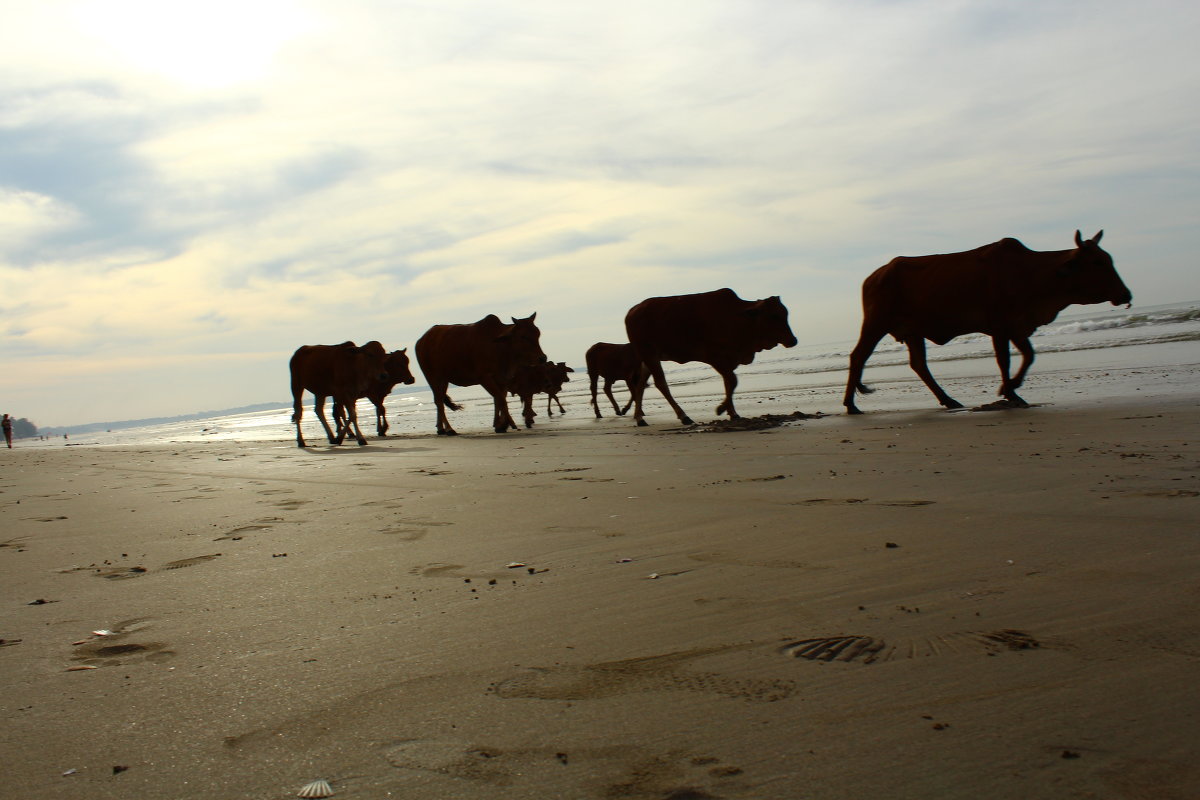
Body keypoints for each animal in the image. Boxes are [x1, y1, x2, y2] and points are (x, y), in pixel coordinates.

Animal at [412, 314, 544, 438]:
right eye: (523, 336)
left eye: (538, 333)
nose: (543, 358)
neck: (500, 347)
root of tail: (421, 341)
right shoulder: (484, 378)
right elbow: (501, 399)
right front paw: (507, 423)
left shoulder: (502, 379)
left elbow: (499, 399)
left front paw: (500, 425)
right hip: (433, 377)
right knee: (439, 401)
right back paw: (449, 429)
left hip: (443, 379)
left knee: (439, 401)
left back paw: (441, 429)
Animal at [628, 287, 796, 424]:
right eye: (774, 316)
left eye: (785, 314)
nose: (793, 340)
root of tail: (632, 312)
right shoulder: (716, 358)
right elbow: (732, 381)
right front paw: (721, 409)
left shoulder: (728, 361)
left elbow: (728, 383)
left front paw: (733, 413)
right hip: (649, 354)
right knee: (661, 384)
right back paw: (683, 416)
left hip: (649, 358)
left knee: (641, 384)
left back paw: (639, 417)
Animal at [844, 230, 1132, 412]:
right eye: (1097, 262)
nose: (1126, 295)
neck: (1033, 273)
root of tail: (873, 276)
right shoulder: (999, 327)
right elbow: (1004, 360)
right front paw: (1010, 391)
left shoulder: (1017, 327)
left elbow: (1029, 355)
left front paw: (1011, 387)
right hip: (875, 323)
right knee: (858, 356)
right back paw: (851, 405)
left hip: (913, 332)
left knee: (919, 365)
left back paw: (949, 401)